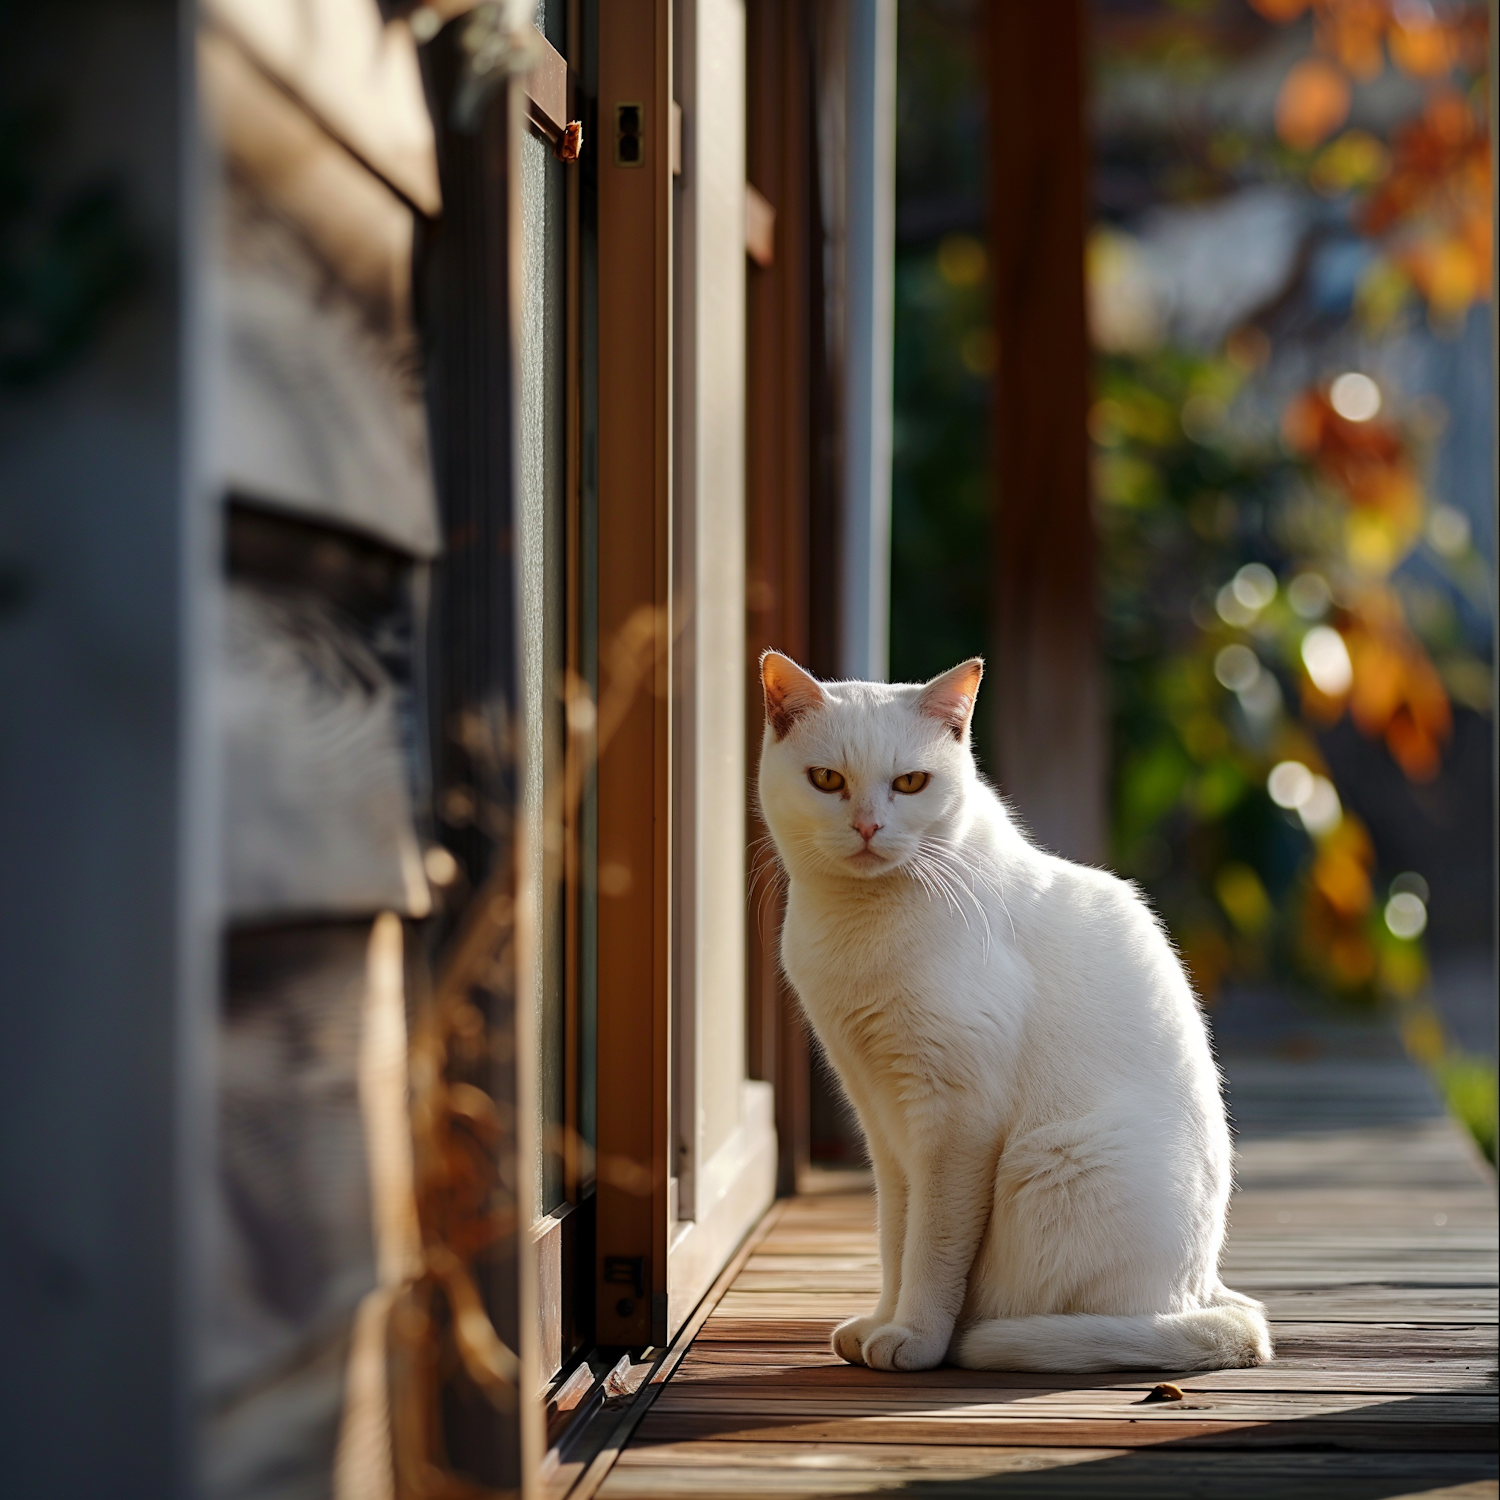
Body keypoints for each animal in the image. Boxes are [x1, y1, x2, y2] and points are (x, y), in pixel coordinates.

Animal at [762, 651, 1266, 1374]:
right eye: (827, 780)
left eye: (910, 783)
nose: (867, 826)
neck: (858, 926)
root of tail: (1200, 1293)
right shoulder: (882, 1119)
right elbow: (894, 1239)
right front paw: (882, 1323)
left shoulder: (955, 1118)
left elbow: (931, 1249)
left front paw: (914, 1338)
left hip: (1053, 1160)